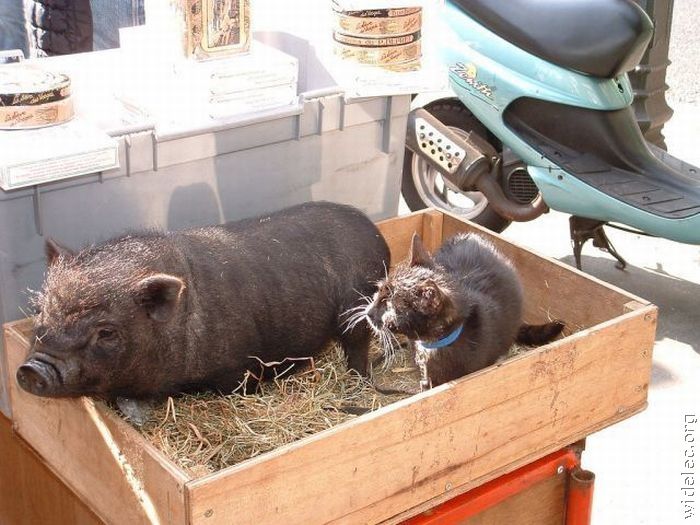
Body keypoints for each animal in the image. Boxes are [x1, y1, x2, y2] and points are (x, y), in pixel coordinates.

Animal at [16, 201, 390, 399]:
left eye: (106, 332)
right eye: (40, 311)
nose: (32, 369)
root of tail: (376, 234)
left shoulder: (238, 368)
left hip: (356, 311)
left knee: (357, 345)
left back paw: (361, 379)